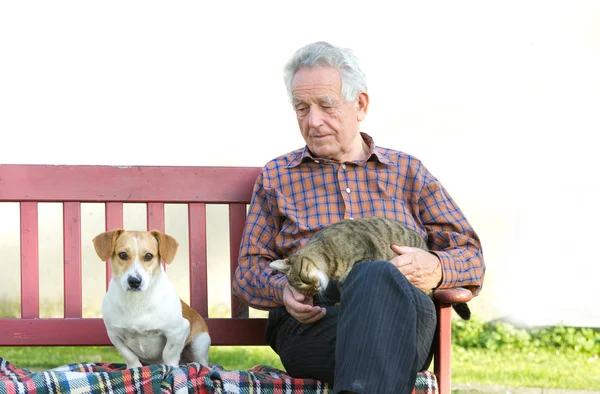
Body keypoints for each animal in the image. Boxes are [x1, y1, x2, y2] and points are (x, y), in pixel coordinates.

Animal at [91, 229, 209, 368]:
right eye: (123, 254)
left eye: (148, 256)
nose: (134, 281)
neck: (137, 301)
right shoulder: (115, 335)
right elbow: (129, 355)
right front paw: (134, 368)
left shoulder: (178, 331)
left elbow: (169, 354)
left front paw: (171, 368)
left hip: (199, 345)